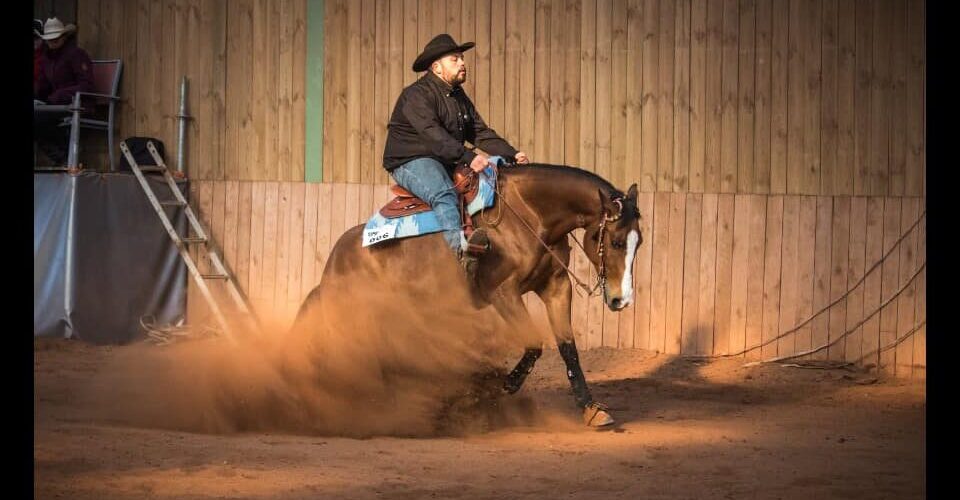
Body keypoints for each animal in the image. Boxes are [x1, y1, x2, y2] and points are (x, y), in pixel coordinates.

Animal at [288, 163, 640, 426]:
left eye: (639, 242)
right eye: (616, 241)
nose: (620, 300)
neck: (528, 215)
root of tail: (336, 258)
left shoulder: (555, 286)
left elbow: (568, 349)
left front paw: (591, 409)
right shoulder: (503, 293)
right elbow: (534, 344)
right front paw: (503, 386)